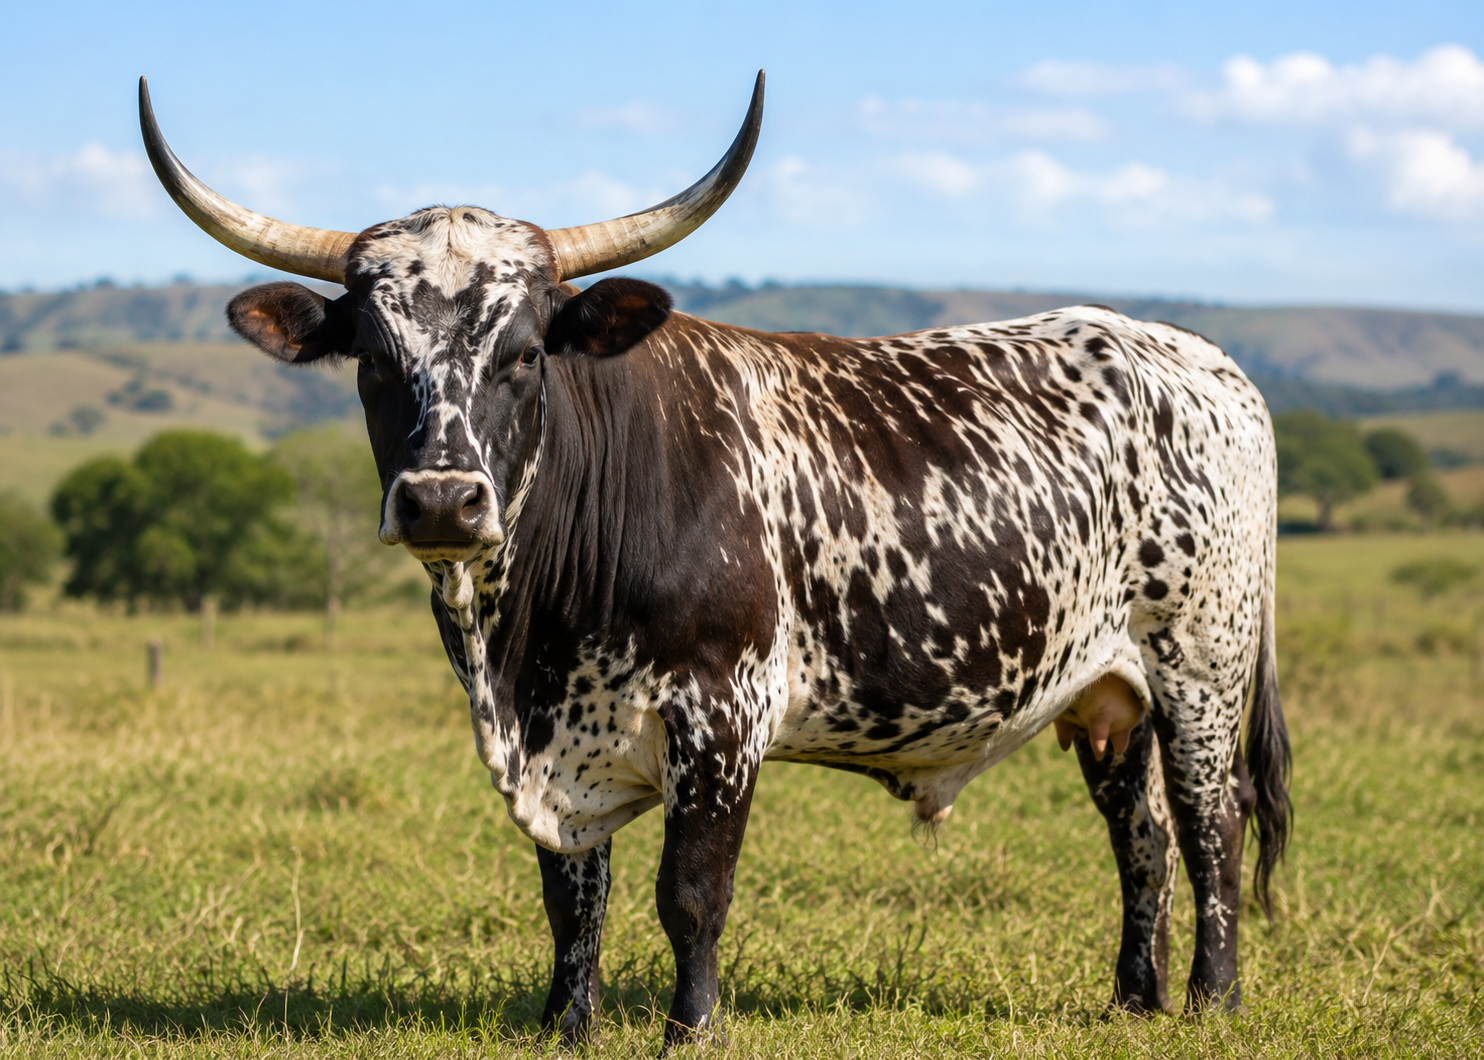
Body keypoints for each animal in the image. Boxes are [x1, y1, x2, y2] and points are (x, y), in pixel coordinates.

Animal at [139, 72, 1290, 1048]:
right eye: (374, 360)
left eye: (524, 353)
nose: (440, 500)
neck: (526, 642)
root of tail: (1197, 356)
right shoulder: (559, 738)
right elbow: (572, 894)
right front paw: (565, 1027)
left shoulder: (722, 713)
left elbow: (690, 891)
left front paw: (689, 1028)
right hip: (1107, 691)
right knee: (1138, 832)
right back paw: (1132, 998)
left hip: (1199, 664)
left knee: (1210, 820)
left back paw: (1211, 1000)